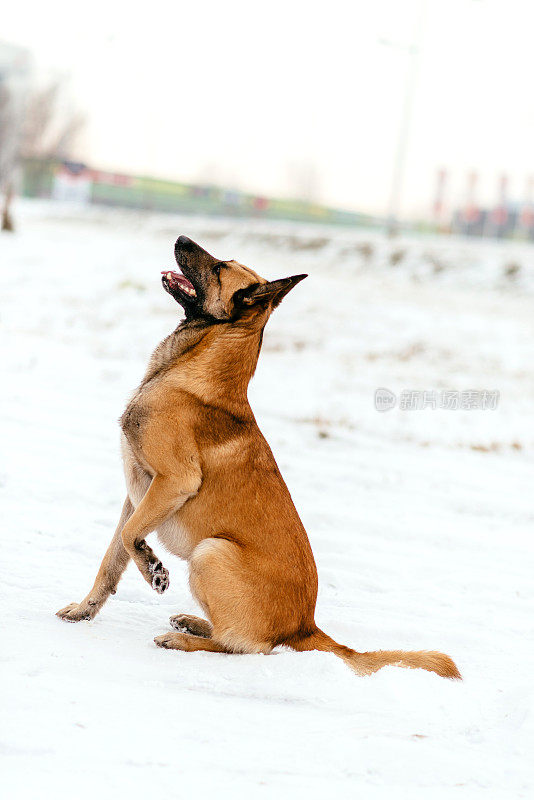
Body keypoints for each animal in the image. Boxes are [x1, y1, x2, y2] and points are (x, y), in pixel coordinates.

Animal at [56, 236, 462, 680]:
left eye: (220, 267)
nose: (181, 239)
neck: (200, 366)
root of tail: (305, 626)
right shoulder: (137, 497)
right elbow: (112, 559)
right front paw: (84, 609)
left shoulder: (173, 483)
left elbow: (131, 539)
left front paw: (154, 572)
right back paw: (192, 623)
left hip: (210, 551)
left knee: (244, 646)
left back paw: (185, 639)